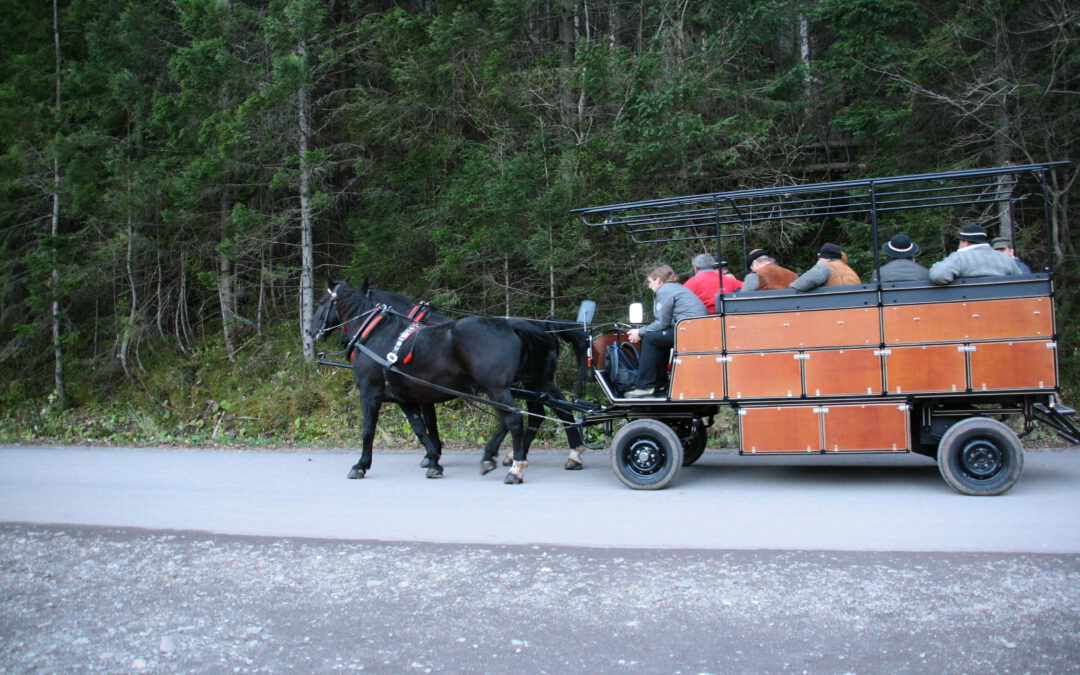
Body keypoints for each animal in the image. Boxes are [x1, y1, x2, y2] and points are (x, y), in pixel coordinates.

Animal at [308, 280, 552, 481]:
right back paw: (492, 457)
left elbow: (369, 431)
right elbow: (420, 427)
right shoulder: (406, 397)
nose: (311, 330)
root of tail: (510, 325)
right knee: (514, 418)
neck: (375, 333)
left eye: (321, 302)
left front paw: (360, 465)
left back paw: (516, 468)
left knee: (514, 420)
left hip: (497, 388)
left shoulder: (370, 394)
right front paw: (433, 460)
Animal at [358, 278, 587, 468]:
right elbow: (429, 422)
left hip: (524, 383)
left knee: (550, 412)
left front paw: (432, 456)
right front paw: (433, 454)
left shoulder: (422, 391)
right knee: (545, 412)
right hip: (534, 382)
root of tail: (544, 327)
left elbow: (429, 422)